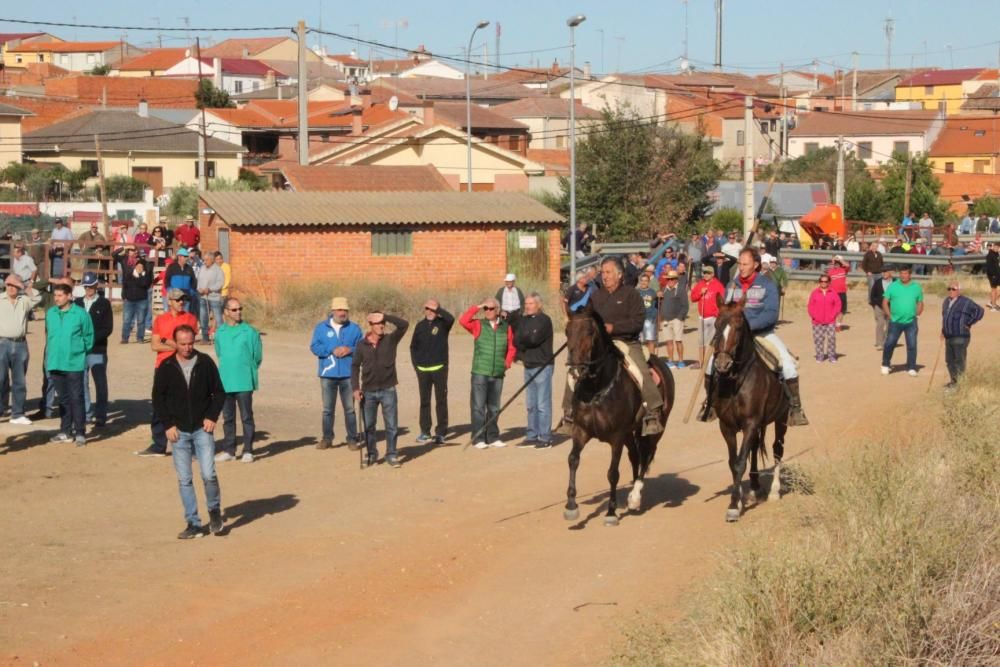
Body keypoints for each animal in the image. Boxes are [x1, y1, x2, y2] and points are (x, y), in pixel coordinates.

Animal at [560, 306, 676, 528]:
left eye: (590, 332)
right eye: (567, 331)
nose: (575, 368)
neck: (596, 388)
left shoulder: (616, 437)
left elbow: (612, 473)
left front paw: (611, 512)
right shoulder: (581, 431)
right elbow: (572, 460)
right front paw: (571, 506)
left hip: (655, 430)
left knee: (646, 456)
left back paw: (635, 497)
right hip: (631, 434)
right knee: (635, 457)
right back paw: (632, 494)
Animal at [712, 300, 788, 524]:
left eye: (738, 328)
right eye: (716, 326)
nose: (722, 364)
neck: (737, 381)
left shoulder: (751, 423)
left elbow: (740, 462)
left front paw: (733, 507)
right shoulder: (727, 426)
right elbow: (734, 462)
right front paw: (738, 500)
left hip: (781, 419)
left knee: (777, 449)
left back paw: (774, 491)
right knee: (755, 448)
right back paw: (754, 487)